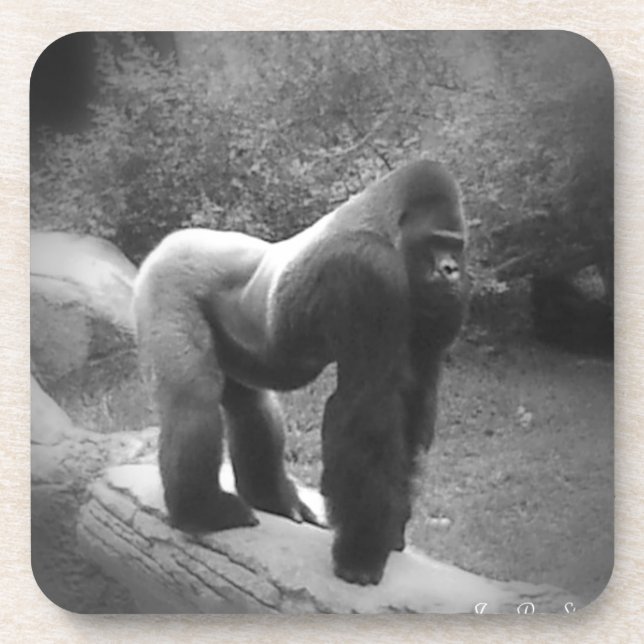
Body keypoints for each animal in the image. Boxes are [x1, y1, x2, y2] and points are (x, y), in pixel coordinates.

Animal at [133, 160, 468, 585]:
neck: (385, 224)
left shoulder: (440, 306)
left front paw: (389, 530)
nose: (451, 270)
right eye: (434, 242)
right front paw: (361, 552)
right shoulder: (367, 271)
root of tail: (172, 240)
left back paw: (269, 496)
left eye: (456, 245)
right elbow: (367, 408)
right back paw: (200, 509)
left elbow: (411, 403)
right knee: (192, 398)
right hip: (166, 281)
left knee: (251, 405)